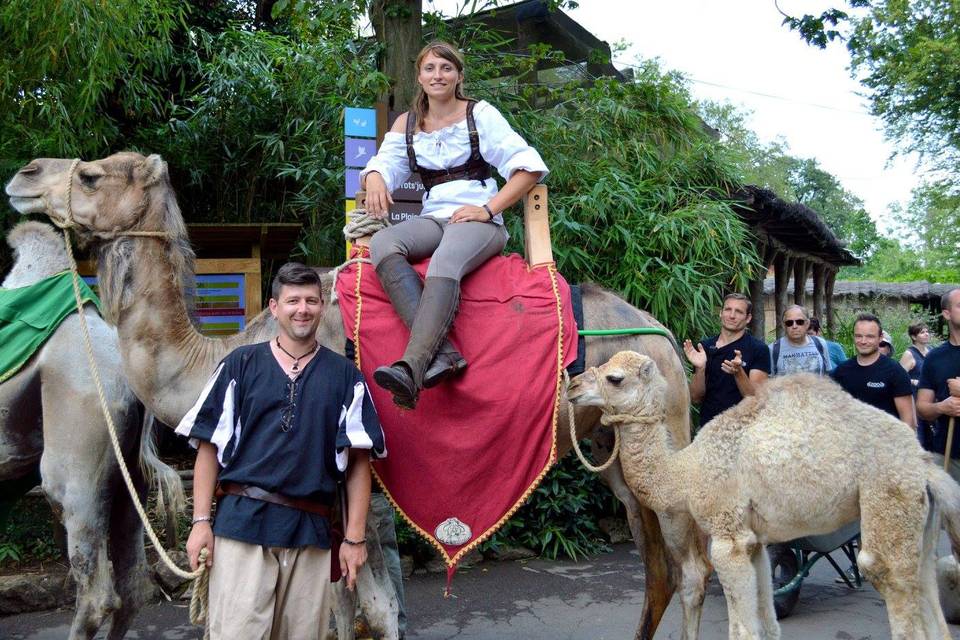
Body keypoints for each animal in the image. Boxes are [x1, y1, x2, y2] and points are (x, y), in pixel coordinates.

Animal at [7, 151, 708, 640]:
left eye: (91, 175)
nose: (24, 175)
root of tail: (665, 337)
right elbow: (360, 610)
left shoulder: (356, 482)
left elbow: (365, 610)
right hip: (617, 451)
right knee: (658, 567)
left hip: (669, 428)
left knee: (694, 565)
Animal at [568, 350, 960, 640]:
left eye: (615, 378)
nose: (572, 385)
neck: (688, 472)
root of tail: (923, 464)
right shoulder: (753, 540)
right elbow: (768, 625)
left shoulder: (727, 536)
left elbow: (743, 630)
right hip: (917, 520)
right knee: (927, 591)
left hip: (887, 497)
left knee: (885, 574)